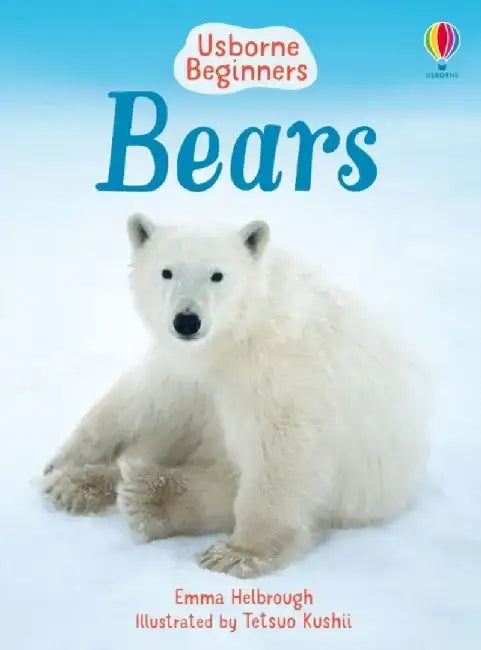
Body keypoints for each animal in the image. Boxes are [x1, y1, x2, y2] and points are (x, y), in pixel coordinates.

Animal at [41, 214, 430, 578]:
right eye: (166, 271)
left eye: (217, 275)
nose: (187, 321)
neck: (238, 335)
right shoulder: (190, 371)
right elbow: (150, 397)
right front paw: (62, 463)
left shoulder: (278, 371)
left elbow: (282, 452)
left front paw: (238, 554)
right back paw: (78, 485)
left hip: (363, 490)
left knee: (227, 485)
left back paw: (146, 498)